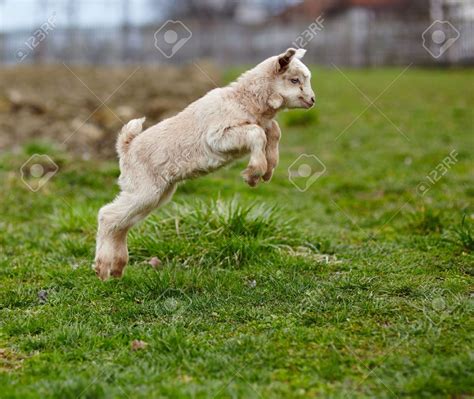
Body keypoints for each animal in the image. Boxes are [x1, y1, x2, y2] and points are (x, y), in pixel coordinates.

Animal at [94, 48, 314, 282]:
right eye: (294, 80)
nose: (312, 100)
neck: (243, 100)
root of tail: (126, 146)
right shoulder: (217, 136)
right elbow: (257, 133)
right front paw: (253, 173)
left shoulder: (262, 124)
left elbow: (273, 131)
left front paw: (269, 168)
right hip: (143, 188)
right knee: (107, 215)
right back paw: (102, 268)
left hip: (156, 192)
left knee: (122, 223)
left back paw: (116, 268)